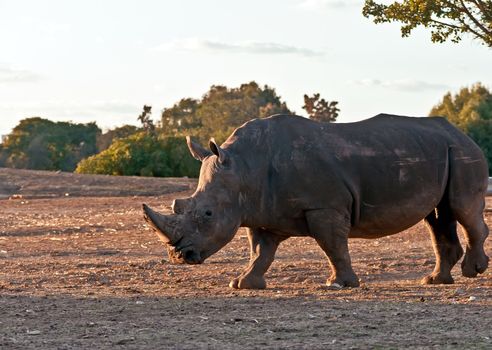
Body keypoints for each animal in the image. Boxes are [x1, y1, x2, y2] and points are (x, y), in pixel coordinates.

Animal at [142, 113, 488, 288]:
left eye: (208, 214)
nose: (180, 257)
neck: (244, 167)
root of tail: (462, 133)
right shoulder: (260, 209)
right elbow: (260, 251)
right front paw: (242, 284)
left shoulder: (324, 206)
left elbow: (332, 245)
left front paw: (339, 284)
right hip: (440, 151)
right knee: (437, 217)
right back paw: (435, 281)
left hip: (462, 152)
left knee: (461, 208)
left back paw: (473, 271)